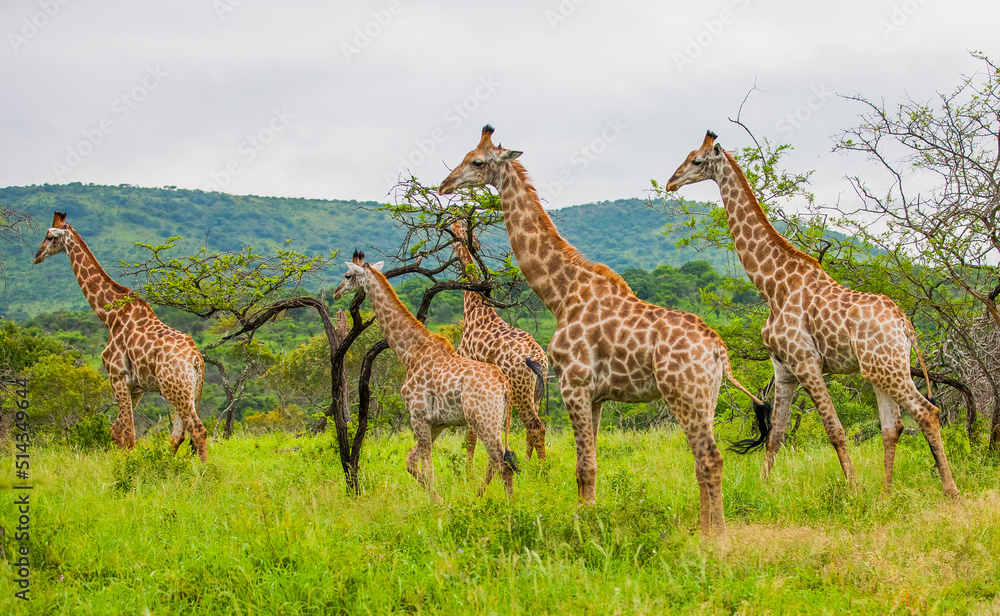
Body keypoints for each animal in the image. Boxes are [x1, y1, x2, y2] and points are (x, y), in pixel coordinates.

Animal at [33, 212, 209, 461]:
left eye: (49, 237)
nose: (36, 256)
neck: (110, 316)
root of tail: (197, 359)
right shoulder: (137, 387)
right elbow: (116, 430)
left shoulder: (118, 376)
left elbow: (128, 433)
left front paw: (128, 466)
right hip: (184, 390)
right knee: (178, 435)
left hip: (176, 389)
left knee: (197, 430)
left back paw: (203, 470)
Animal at [332, 250, 518, 499]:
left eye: (347, 275)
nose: (336, 292)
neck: (410, 352)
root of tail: (504, 386)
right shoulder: (437, 422)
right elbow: (411, 462)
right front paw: (438, 499)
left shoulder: (418, 416)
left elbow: (428, 468)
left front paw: (438, 502)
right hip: (496, 420)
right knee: (498, 460)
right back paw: (479, 497)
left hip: (482, 419)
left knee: (502, 462)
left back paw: (508, 505)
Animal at [451, 221, 549, 462]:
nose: (476, 242)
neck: (474, 308)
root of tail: (539, 358)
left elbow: (470, 435)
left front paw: (467, 469)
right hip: (535, 390)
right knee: (530, 429)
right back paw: (529, 464)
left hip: (521, 388)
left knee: (535, 427)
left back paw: (543, 469)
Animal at [663, 131, 959, 497]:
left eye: (697, 160)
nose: (671, 182)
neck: (772, 286)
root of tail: (906, 326)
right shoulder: (785, 368)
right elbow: (776, 435)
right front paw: (762, 491)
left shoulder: (807, 362)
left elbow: (835, 430)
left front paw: (854, 490)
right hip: (881, 368)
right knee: (894, 426)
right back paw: (886, 495)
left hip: (888, 368)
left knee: (927, 412)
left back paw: (950, 491)